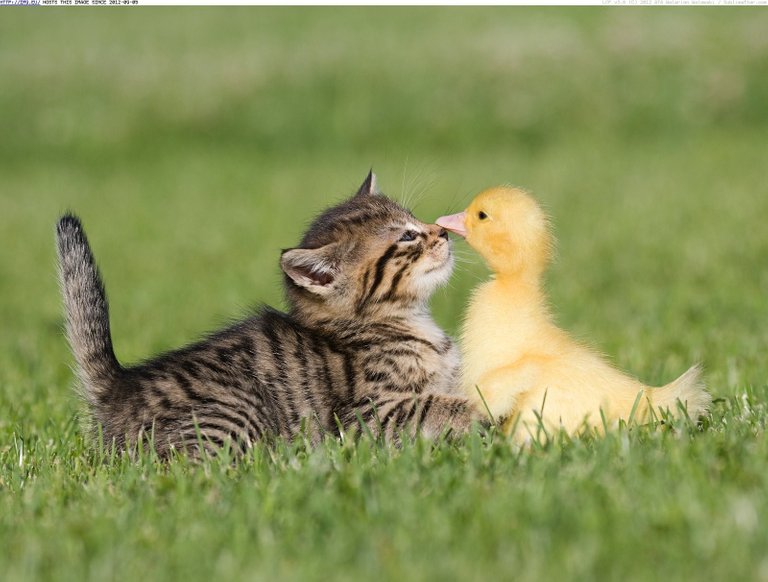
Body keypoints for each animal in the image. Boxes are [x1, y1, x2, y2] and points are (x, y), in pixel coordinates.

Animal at [57, 171, 484, 458]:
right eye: (407, 237)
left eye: (417, 219)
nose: (443, 232)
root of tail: (120, 387)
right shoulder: (369, 415)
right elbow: (441, 404)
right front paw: (489, 414)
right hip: (235, 412)